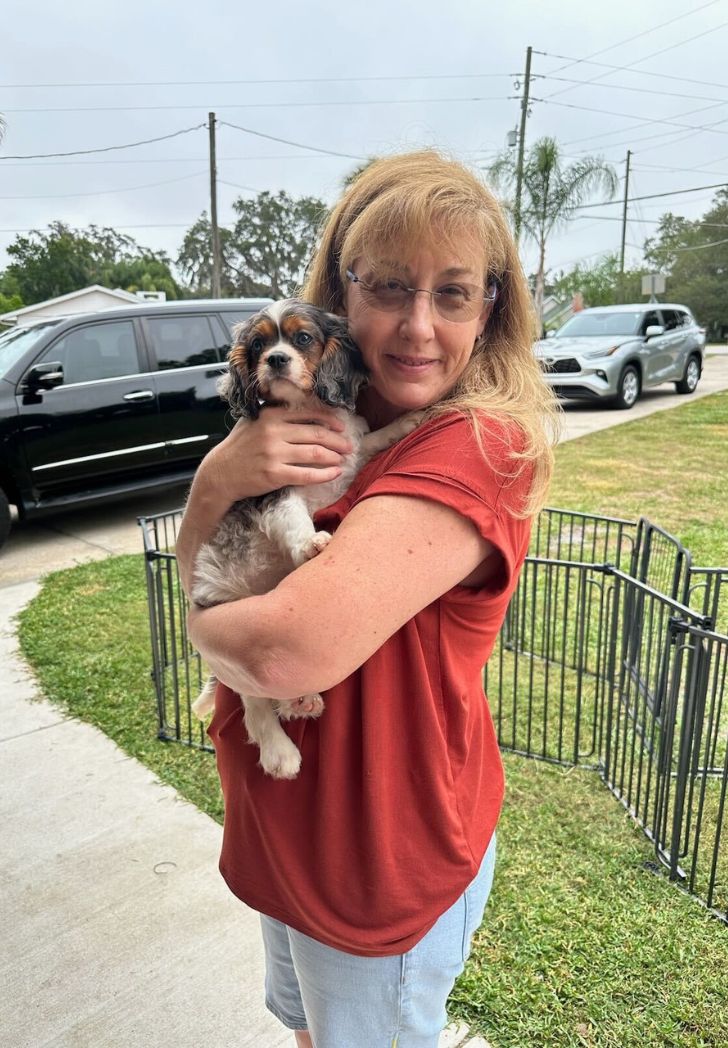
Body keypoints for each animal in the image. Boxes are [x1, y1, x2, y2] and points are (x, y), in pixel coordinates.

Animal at [190, 297, 421, 779]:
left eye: (302, 338)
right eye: (259, 346)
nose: (276, 360)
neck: (305, 409)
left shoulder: (349, 450)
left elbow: (373, 438)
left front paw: (411, 420)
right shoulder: (276, 489)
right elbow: (295, 518)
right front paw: (311, 544)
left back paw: (301, 700)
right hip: (229, 616)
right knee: (254, 701)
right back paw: (280, 750)